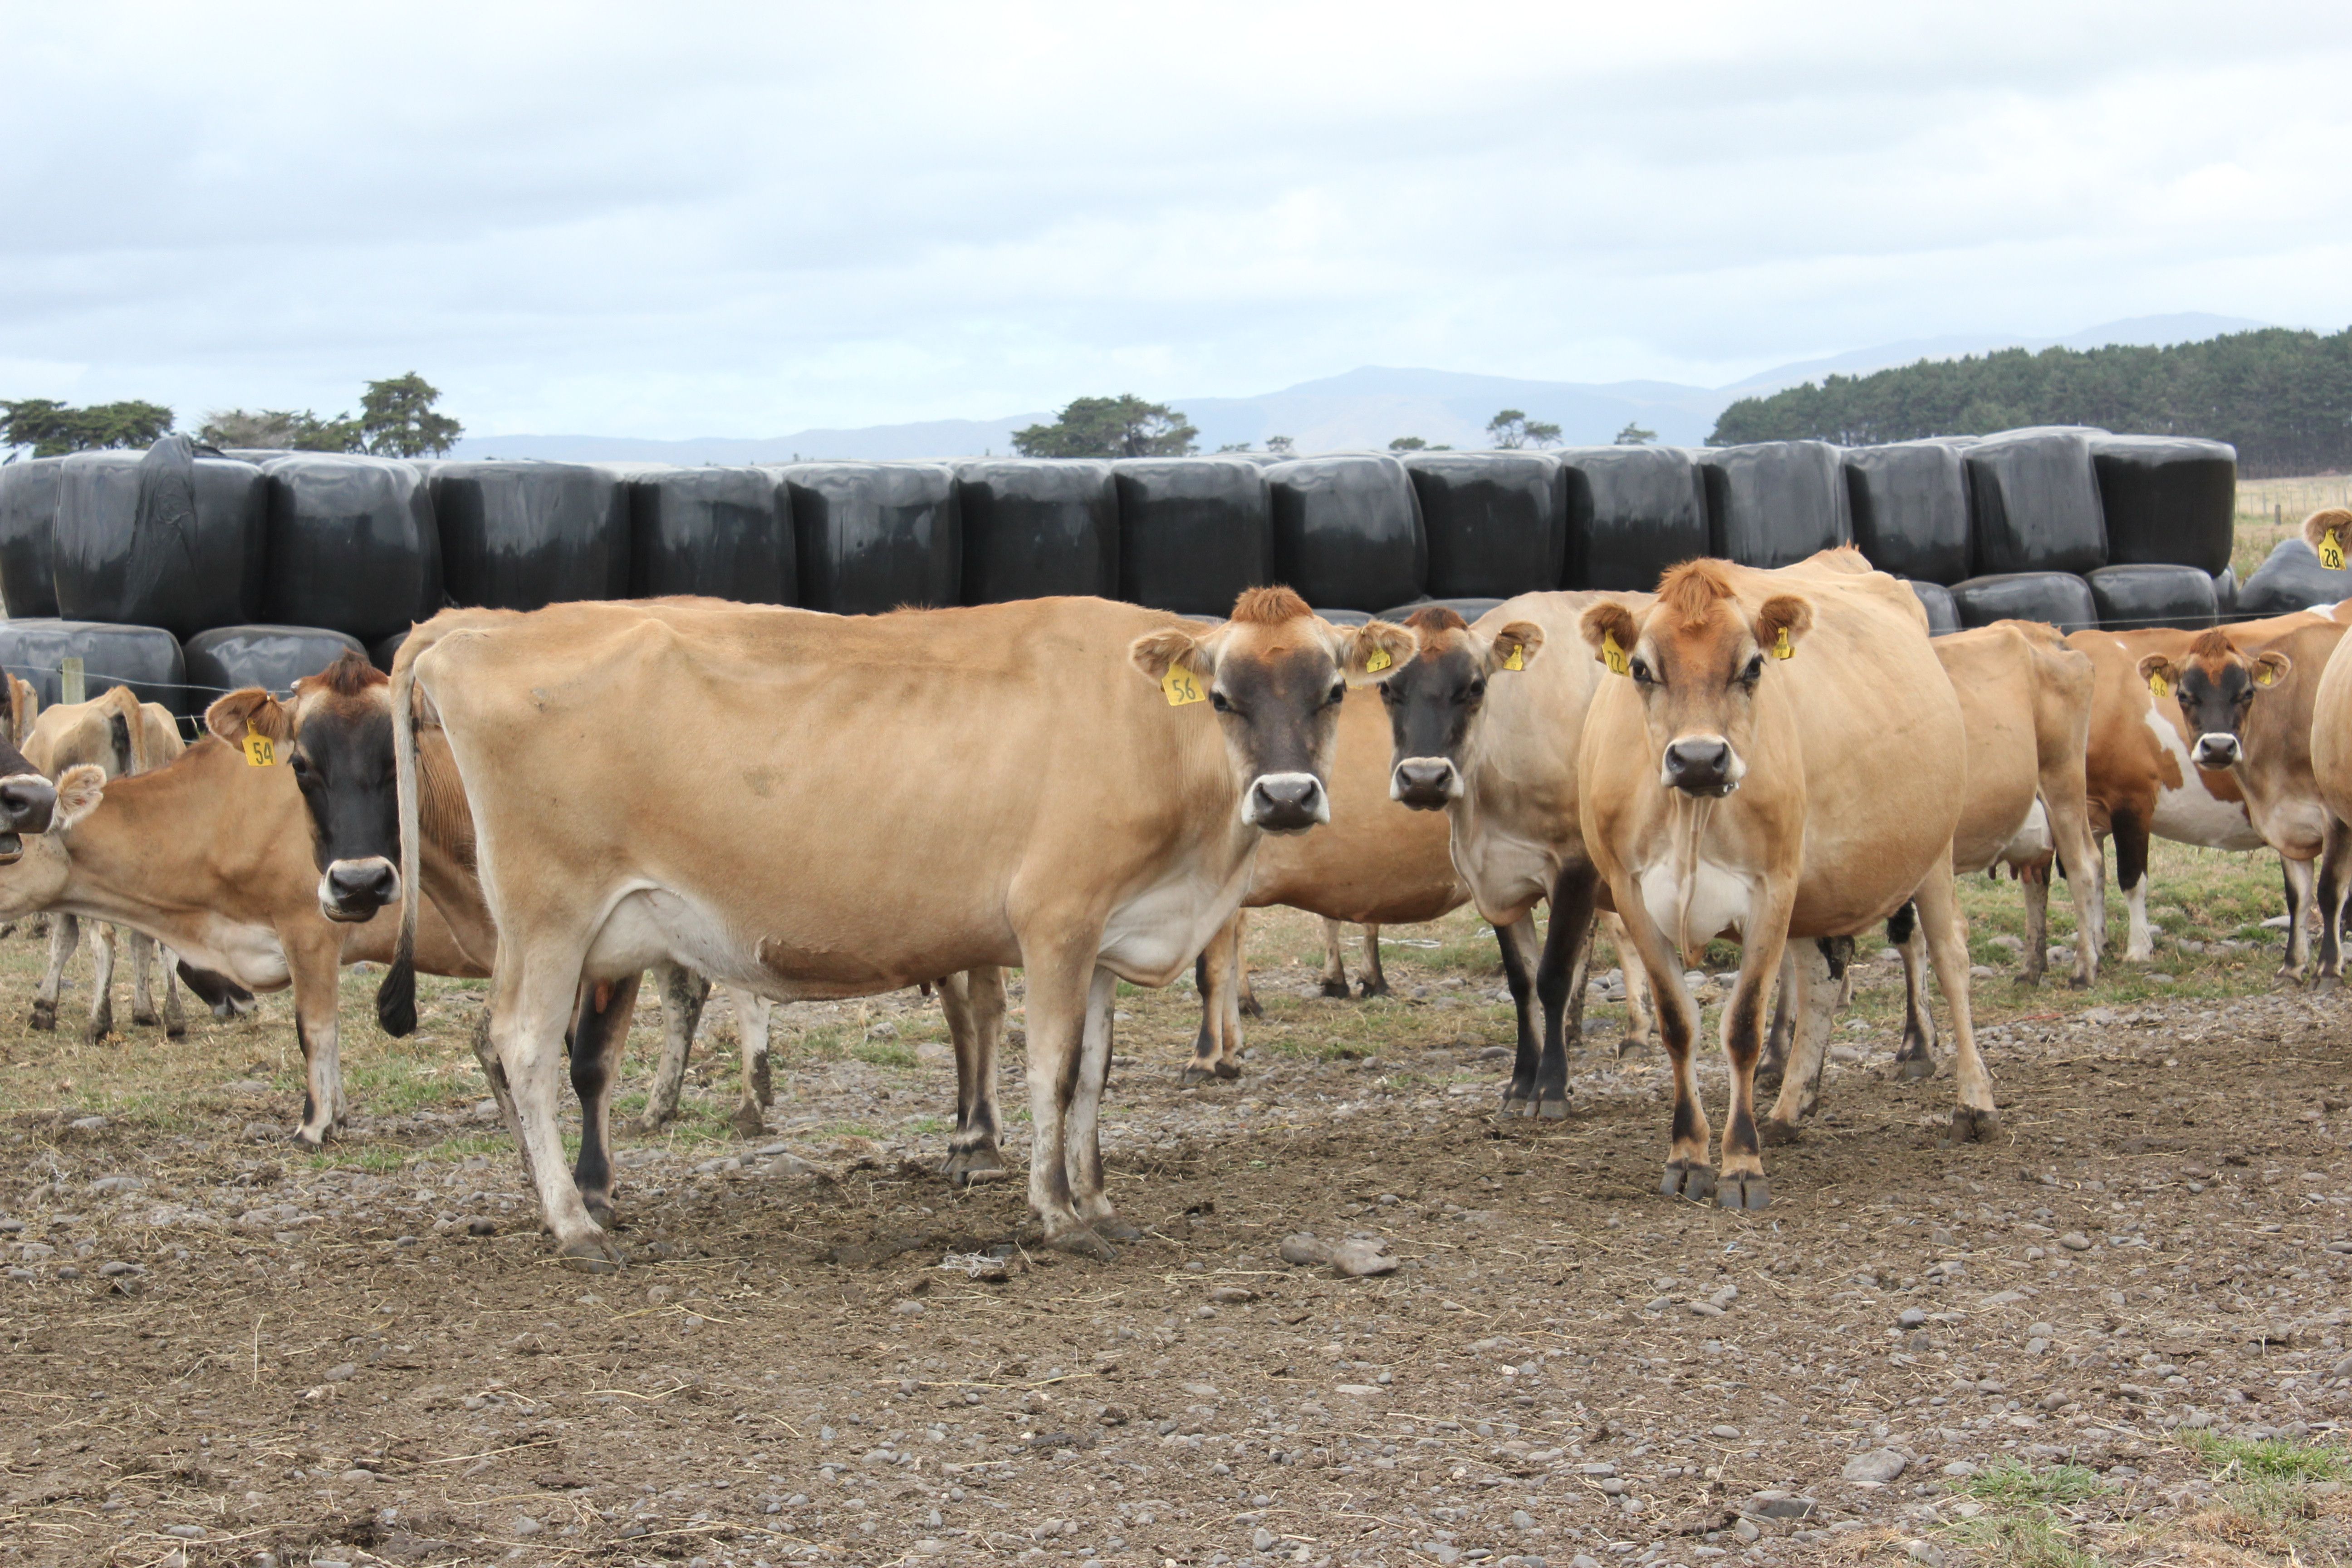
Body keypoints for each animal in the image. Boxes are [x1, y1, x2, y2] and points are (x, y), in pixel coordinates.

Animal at [20, 687, 190, 1040]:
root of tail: (122, 700)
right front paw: (144, 1011)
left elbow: (64, 940)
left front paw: (45, 1007)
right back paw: (173, 1017)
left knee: (105, 937)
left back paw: (99, 1022)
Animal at [281, 645, 1016, 1188]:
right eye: (300, 764)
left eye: (394, 758)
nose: (357, 883)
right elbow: (497, 1044)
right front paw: (543, 1175)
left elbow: (577, 1054)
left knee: (976, 1006)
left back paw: (972, 1138)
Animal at [388, 589, 1412, 1267]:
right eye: (1223, 697)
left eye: (1331, 691)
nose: (1287, 797)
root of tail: (475, 628)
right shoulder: (1055, 922)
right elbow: (1047, 1070)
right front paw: (1056, 1212)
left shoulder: (1108, 936)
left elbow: (1092, 1075)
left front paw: (1099, 1199)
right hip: (550, 916)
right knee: (522, 1045)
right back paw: (572, 1223)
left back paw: (553, 1205)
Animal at [1374, 595, 1660, 1121]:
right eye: (1387, 687)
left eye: (1475, 686)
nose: (1423, 779)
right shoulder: (1495, 881)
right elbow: (1521, 982)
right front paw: (1520, 1085)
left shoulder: (1576, 868)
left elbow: (1553, 977)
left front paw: (1551, 1089)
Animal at [1577, 551, 1988, 1209]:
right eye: (1640, 668)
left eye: (1753, 666)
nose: (1699, 758)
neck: (1692, 816)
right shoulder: (1631, 893)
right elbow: (1678, 1026)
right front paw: (1688, 1156)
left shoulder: (1771, 888)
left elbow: (1744, 1027)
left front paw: (1741, 1165)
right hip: (1817, 887)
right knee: (1821, 977)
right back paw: (1791, 1110)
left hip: (1932, 851)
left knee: (1951, 958)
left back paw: (1974, 1106)